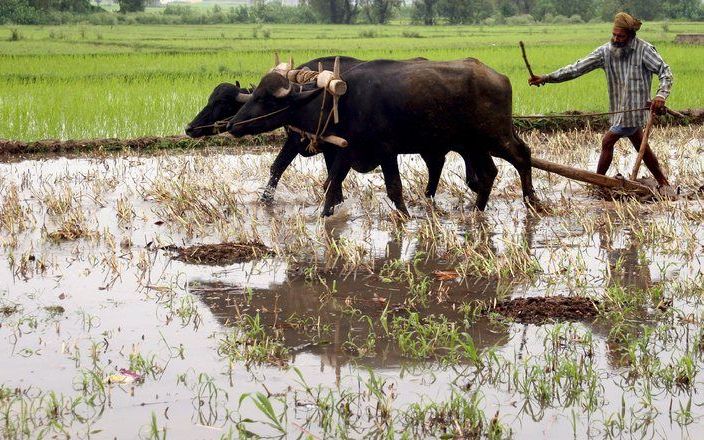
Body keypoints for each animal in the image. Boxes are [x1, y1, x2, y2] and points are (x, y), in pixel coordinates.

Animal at [187, 55, 472, 204]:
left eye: (222, 102)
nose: (190, 128)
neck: (309, 98)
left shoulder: (297, 141)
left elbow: (278, 167)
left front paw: (265, 200)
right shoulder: (327, 146)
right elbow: (330, 177)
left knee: (437, 164)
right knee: (437, 163)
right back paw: (428, 197)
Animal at [228, 58, 536, 217]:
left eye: (267, 99)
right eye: (254, 94)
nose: (232, 124)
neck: (340, 102)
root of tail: (499, 77)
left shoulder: (387, 151)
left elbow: (394, 188)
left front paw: (405, 217)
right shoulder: (345, 151)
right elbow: (332, 183)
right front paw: (325, 215)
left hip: (496, 136)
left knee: (522, 156)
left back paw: (531, 201)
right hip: (475, 144)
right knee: (488, 173)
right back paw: (477, 210)